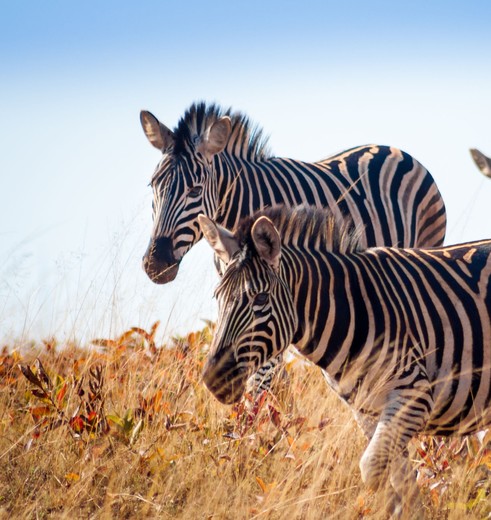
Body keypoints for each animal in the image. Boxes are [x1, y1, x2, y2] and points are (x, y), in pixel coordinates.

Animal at [199, 206, 491, 516]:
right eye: (217, 297)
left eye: (261, 298)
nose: (213, 378)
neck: (350, 311)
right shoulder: (367, 411)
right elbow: (400, 486)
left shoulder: (414, 395)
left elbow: (374, 472)